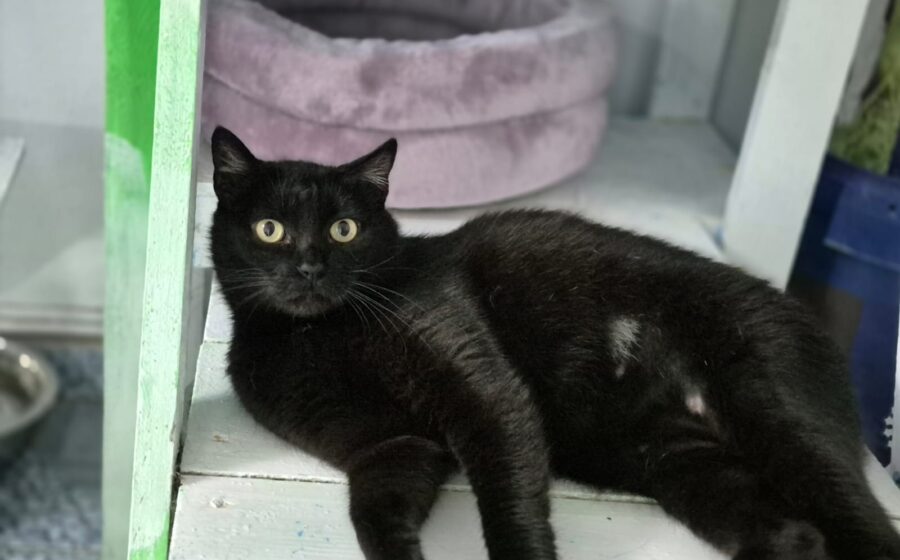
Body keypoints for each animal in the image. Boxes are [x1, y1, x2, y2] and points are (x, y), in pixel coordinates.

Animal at [209, 126, 900, 560]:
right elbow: (373, 516)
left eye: (344, 230)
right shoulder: (390, 446)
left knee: (864, 527)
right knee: (797, 536)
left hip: (781, 421)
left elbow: (509, 505)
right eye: (269, 229)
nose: (309, 267)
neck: (316, 335)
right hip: (684, 466)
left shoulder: (482, 390)